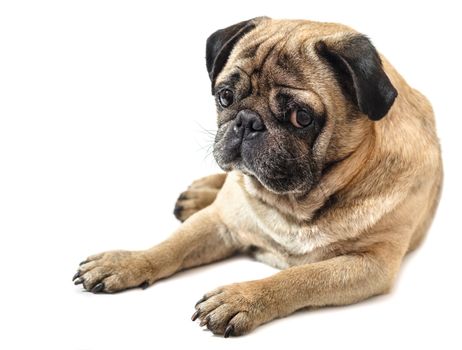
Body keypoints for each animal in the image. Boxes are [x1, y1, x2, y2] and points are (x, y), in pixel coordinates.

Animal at [74, 17, 442, 338]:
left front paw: (242, 298)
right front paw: (126, 262)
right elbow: (169, 247)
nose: (247, 121)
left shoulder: (369, 264)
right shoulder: (221, 222)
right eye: (224, 96)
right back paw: (199, 193)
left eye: (301, 117)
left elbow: (301, 277)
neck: (295, 204)